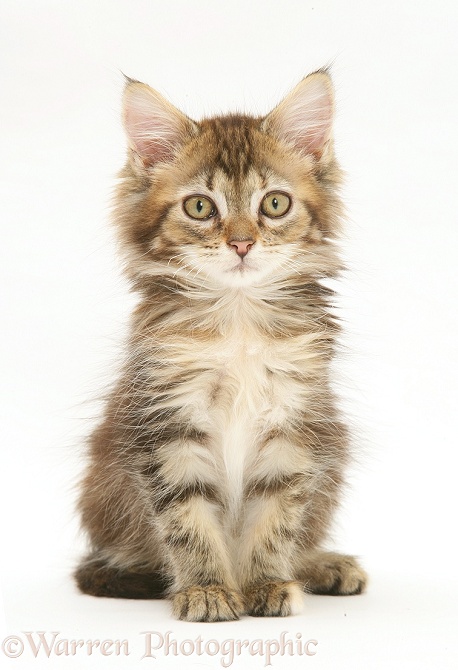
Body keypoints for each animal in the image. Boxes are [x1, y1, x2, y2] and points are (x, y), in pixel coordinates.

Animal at [76, 69, 368, 624]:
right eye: (200, 207)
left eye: (274, 203)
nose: (241, 243)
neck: (238, 316)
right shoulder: (167, 421)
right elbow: (186, 520)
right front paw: (207, 590)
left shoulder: (294, 421)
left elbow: (277, 516)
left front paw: (266, 583)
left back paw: (322, 565)